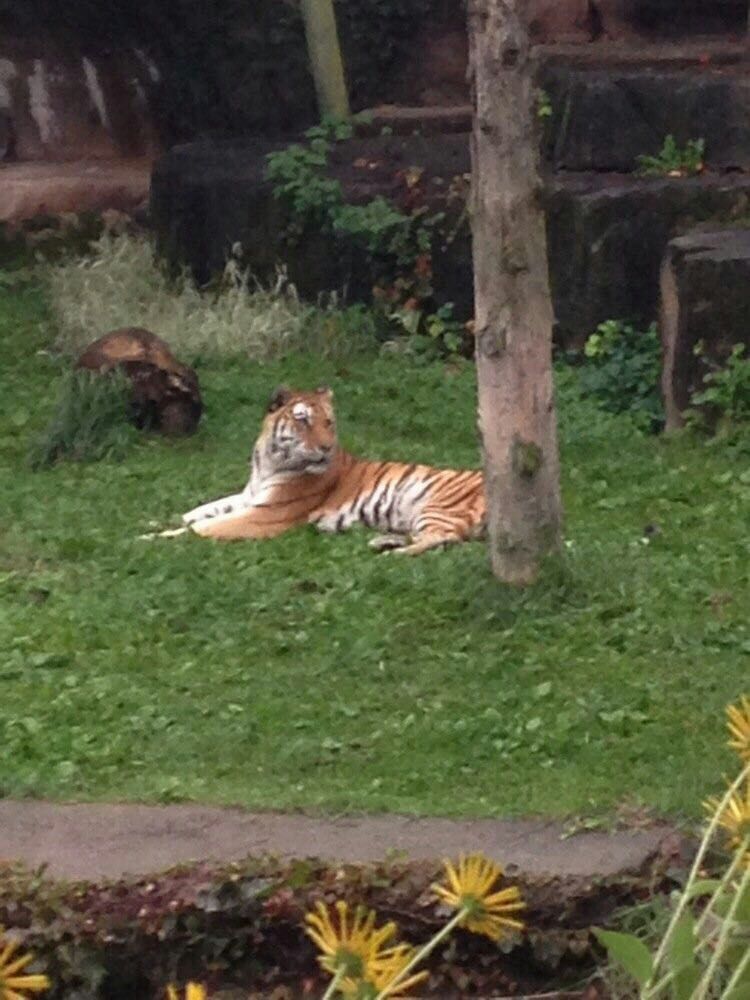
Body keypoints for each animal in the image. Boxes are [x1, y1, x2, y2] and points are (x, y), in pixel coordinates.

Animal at [149, 384, 488, 556]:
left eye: (328, 422)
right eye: (303, 420)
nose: (326, 448)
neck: (268, 463)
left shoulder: (264, 515)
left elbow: (201, 527)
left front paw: (151, 537)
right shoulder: (248, 497)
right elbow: (198, 512)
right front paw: (155, 521)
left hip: (437, 506)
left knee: (444, 538)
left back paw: (392, 552)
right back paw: (384, 541)